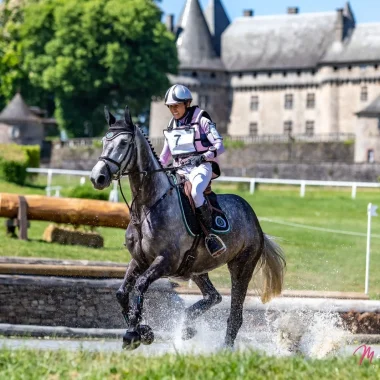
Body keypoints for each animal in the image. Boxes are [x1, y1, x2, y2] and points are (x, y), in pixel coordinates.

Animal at [90, 106, 284, 350]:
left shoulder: (165, 261)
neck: (147, 207)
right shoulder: (139, 260)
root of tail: (254, 219)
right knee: (213, 296)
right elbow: (121, 293)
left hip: (242, 267)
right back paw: (187, 326)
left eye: (124, 143)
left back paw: (224, 349)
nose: (98, 177)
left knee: (235, 313)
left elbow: (140, 286)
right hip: (197, 268)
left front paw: (133, 333)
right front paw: (143, 331)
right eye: (104, 142)